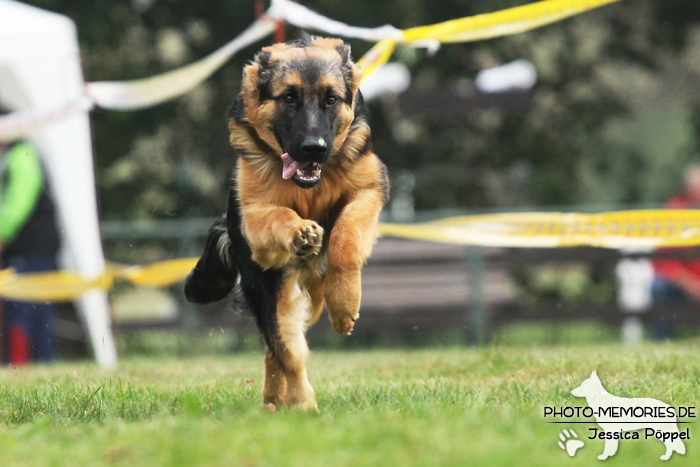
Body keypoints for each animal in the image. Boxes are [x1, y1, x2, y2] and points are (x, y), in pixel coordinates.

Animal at [185, 34, 388, 412]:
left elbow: (346, 236)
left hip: (309, 298)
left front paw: (345, 305)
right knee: (286, 349)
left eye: (331, 99)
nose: (313, 149)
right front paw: (299, 231)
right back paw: (300, 405)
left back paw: (276, 399)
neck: (308, 189)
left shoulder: (368, 190)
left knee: (276, 348)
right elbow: (278, 216)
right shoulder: (254, 217)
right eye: (289, 98)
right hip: (272, 289)